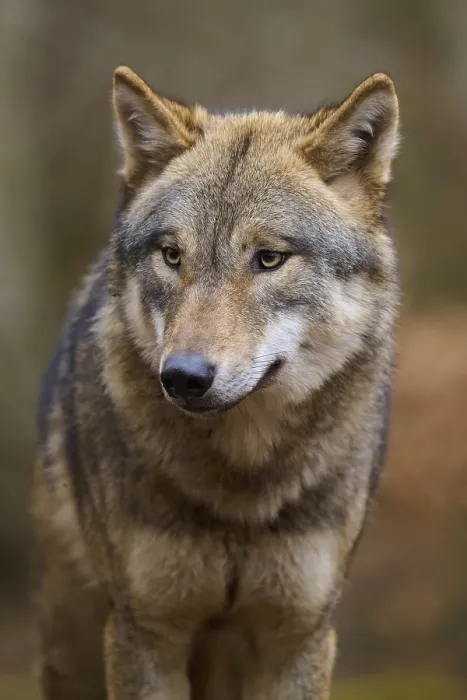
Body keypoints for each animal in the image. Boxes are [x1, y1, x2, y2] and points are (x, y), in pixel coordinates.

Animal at [31, 65, 400, 700]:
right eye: (172, 256)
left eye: (270, 258)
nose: (183, 376)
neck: (240, 489)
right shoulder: (145, 634)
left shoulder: (298, 638)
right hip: (73, 645)